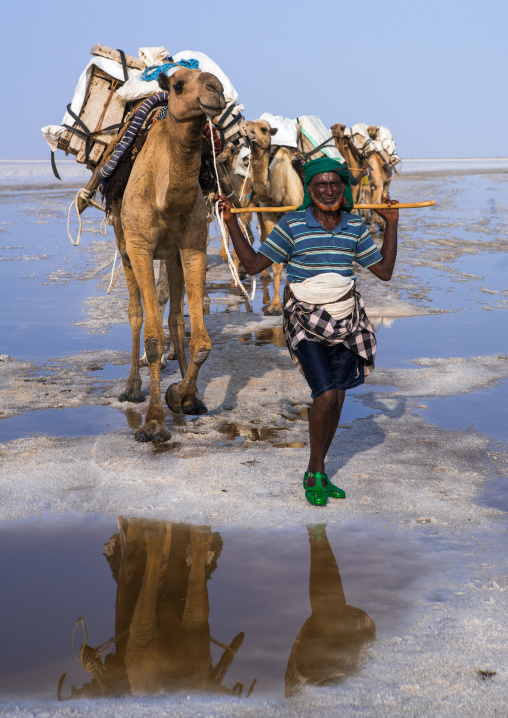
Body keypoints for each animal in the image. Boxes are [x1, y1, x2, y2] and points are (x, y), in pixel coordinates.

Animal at [112, 68, 226, 443]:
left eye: (216, 82)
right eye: (178, 85)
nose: (216, 90)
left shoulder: (192, 246)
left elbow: (201, 341)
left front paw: (182, 396)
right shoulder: (140, 247)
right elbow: (152, 338)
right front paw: (153, 424)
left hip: (172, 256)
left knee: (176, 315)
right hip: (124, 245)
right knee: (135, 313)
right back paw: (132, 388)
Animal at [244, 119, 304, 315]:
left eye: (264, 129)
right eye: (247, 123)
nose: (245, 128)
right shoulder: (268, 214)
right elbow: (275, 262)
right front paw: (275, 306)